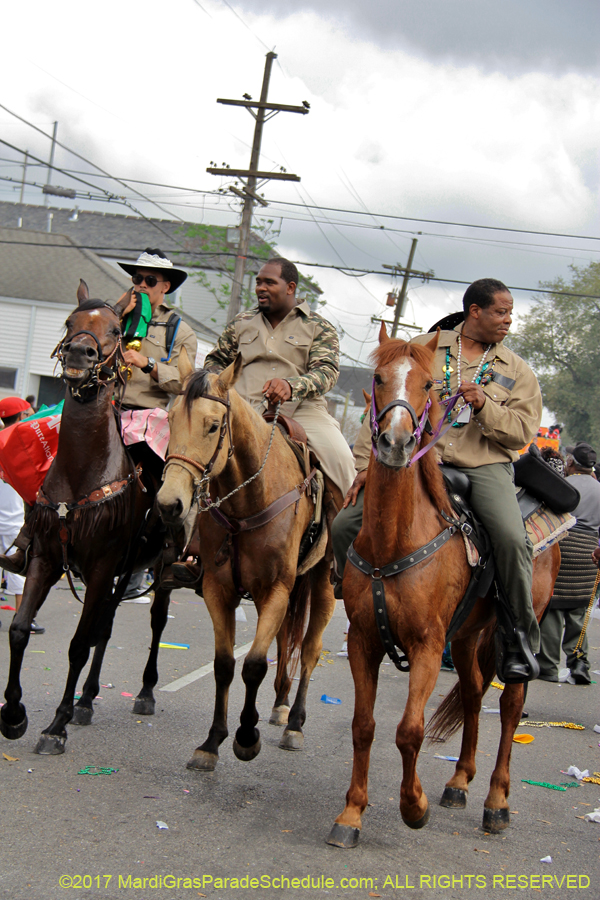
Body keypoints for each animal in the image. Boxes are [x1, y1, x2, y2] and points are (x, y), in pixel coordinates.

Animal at [0, 282, 177, 752]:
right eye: (69, 322)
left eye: (116, 329)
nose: (80, 353)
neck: (82, 472)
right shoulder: (46, 558)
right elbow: (19, 630)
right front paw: (13, 715)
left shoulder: (99, 567)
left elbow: (78, 645)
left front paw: (55, 726)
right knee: (108, 625)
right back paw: (87, 700)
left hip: (162, 568)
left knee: (154, 622)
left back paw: (145, 692)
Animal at [157, 358, 340, 772]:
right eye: (170, 419)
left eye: (212, 425)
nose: (169, 504)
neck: (250, 500)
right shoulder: (219, 589)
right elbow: (225, 664)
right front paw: (212, 742)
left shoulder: (275, 590)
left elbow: (254, 663)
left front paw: (245, 737)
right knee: (286, 642)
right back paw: (280, 705)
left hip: (322, 584)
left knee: (309, 649)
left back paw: (295, 723)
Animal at [328, 328, 556, 844]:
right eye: (378, 377)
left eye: (429, 384)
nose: (393, 442)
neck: (395, 539)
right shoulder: (364, 640)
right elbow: (363, 725)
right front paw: (351, 813)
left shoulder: (429, 646)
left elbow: (408, 731)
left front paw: (414, 807)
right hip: (469, 634)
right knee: (473, 693)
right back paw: (458, 782)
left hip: (515, 630)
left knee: (510, 704)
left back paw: (496, 802)